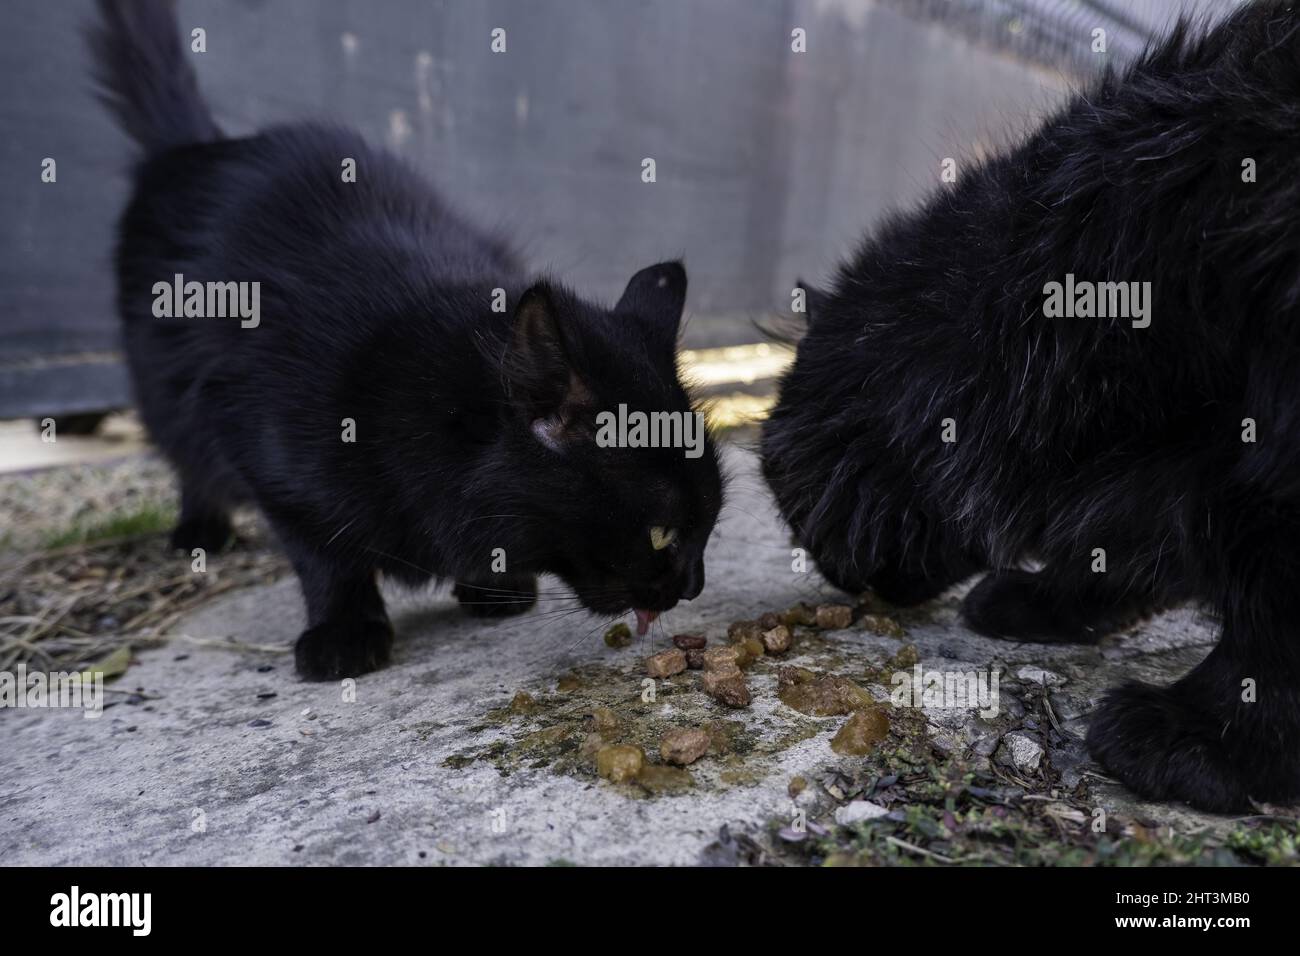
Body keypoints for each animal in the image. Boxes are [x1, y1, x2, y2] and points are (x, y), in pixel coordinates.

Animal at [91, 0, 722, 681]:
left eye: (712, 517)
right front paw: (344, 631)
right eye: (661, 532)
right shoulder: (265, 452)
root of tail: (203, 146)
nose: (694, 585)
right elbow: (324, 556)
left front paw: (492, 583)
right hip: (162, 381)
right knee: (185, 453)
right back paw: (200, 529)